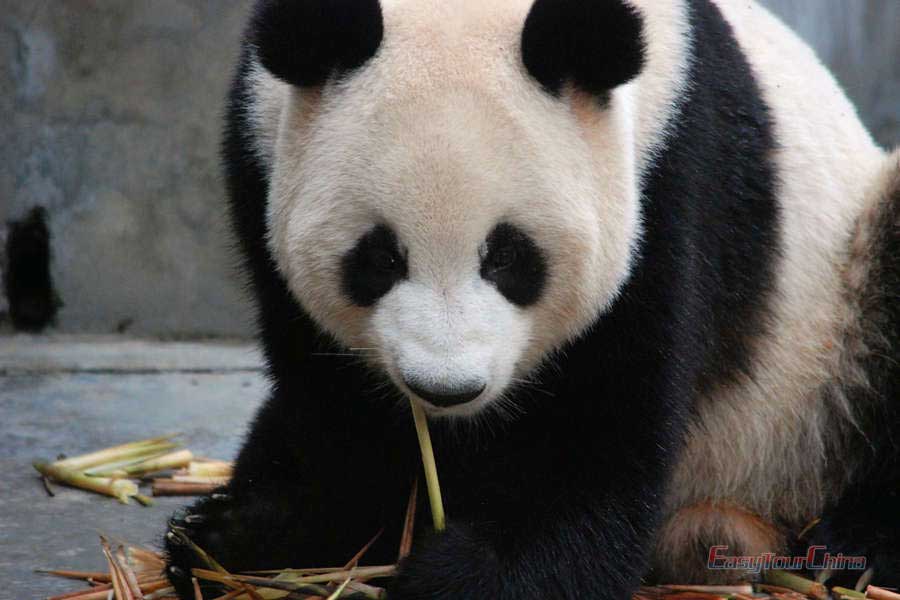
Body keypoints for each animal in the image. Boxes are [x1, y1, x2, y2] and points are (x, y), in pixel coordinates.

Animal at [163, 0, 900, 596]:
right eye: (379, 257)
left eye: (509, 256)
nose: (447, 389)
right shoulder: (257, 155)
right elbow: (332, 412)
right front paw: (246, 533)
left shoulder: (672, 178)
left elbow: (595, 432)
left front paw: (462, 579)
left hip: (826, 332)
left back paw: (850, 544)